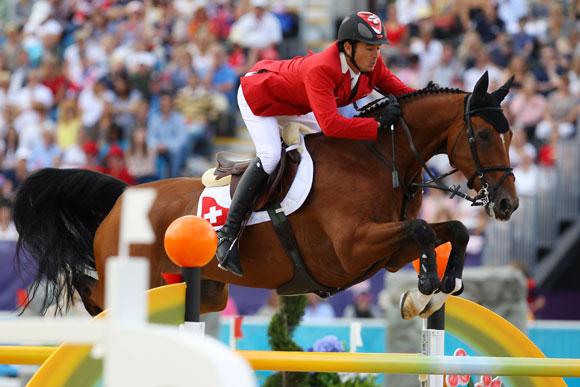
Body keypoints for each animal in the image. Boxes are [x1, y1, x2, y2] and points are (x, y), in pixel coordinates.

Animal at [17, 71, 516, 320]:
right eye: (484, 135)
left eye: (511, 135)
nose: (507, 203)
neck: (383, 157)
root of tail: (125, 197)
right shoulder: (352, 248)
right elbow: (423, 228)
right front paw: (427, 287)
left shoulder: (387, 254)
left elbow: (451, 229)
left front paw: (442, 287)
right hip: (136, 275)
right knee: (93, 289)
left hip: (205, 291)